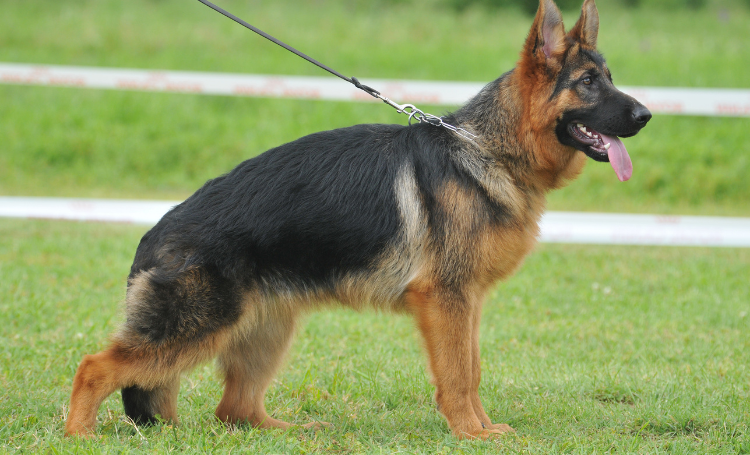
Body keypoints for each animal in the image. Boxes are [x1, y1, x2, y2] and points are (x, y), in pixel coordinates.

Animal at [66, 0, 652, 442]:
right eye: (588, 82)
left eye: (610, 79)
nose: (646, 115)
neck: (488, 149)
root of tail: (153, 235)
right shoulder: (447, 301)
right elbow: (458, 374)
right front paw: (471, 433)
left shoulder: (467, 303)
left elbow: (473, 368)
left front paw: (482, 428)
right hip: (197, 327)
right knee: (95, 366)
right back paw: (78, 435)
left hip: (266, 330)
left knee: (234, 411)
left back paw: (289, 431)